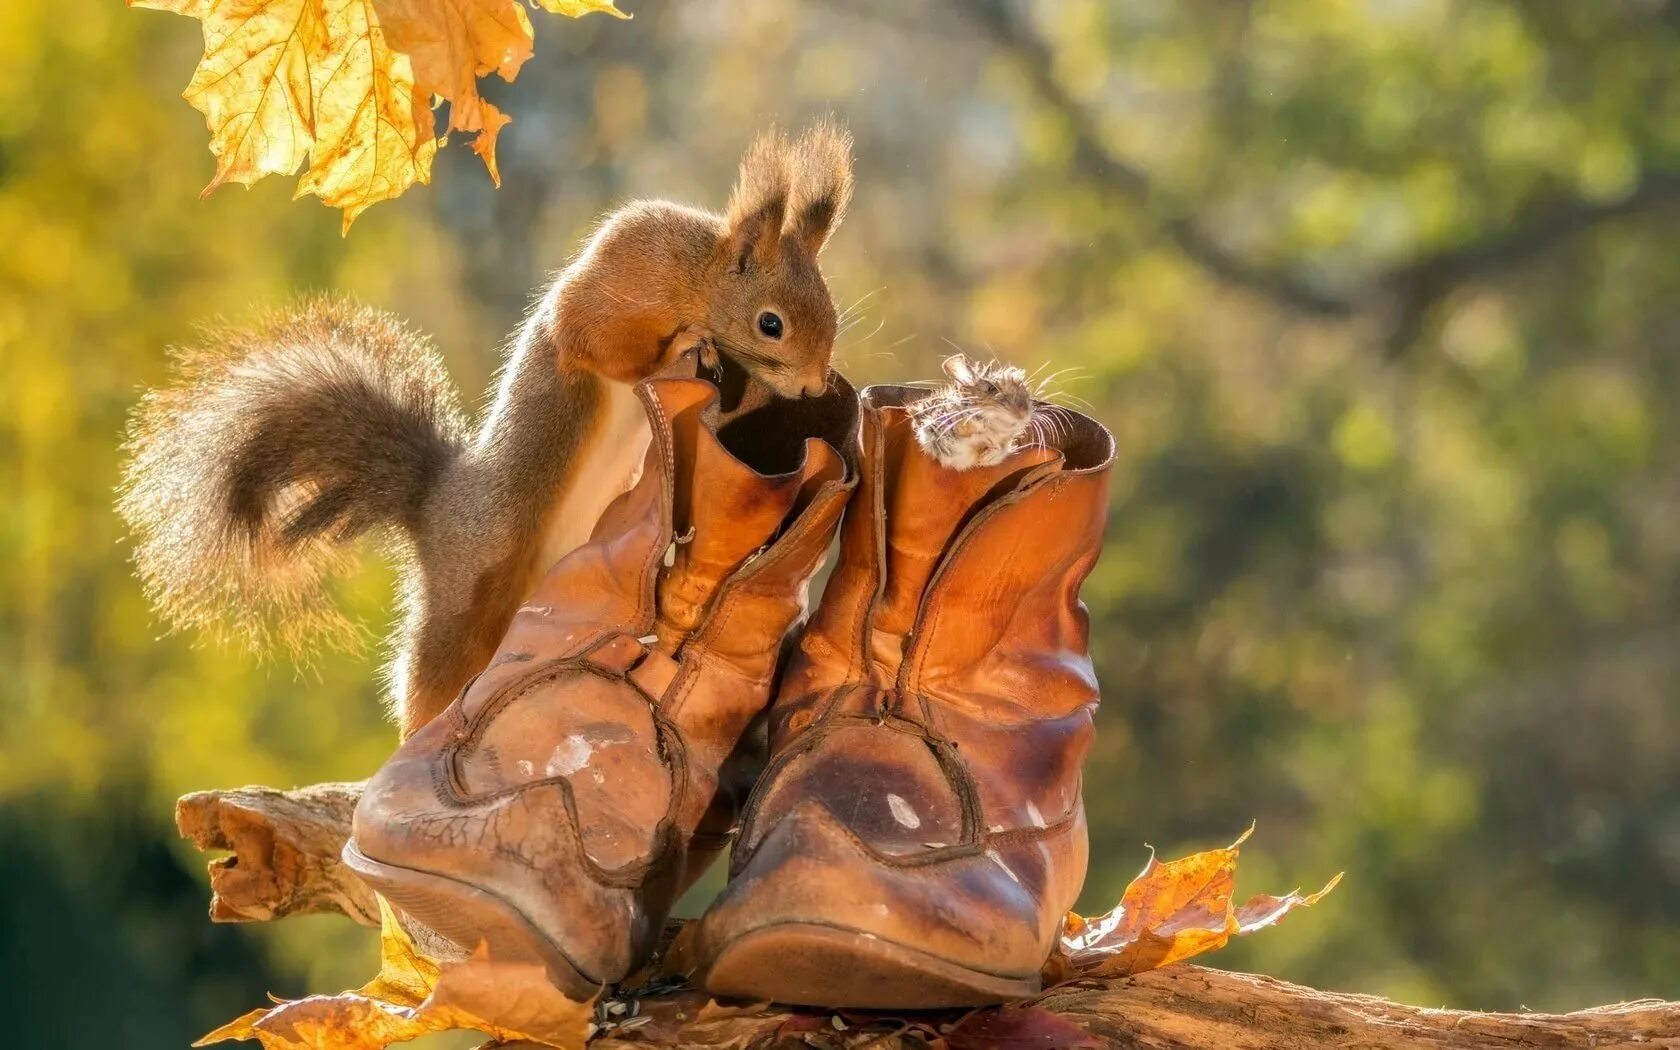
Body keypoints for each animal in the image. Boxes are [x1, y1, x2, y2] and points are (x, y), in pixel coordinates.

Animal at [118, 120, 853, 729]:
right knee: (432, 681)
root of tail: (434, 507)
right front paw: (684, 347)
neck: (695, 276)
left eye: (830, 310)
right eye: (771, 323)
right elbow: (595, 343)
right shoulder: (617, 286)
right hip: (470, 592)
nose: (817, 385)